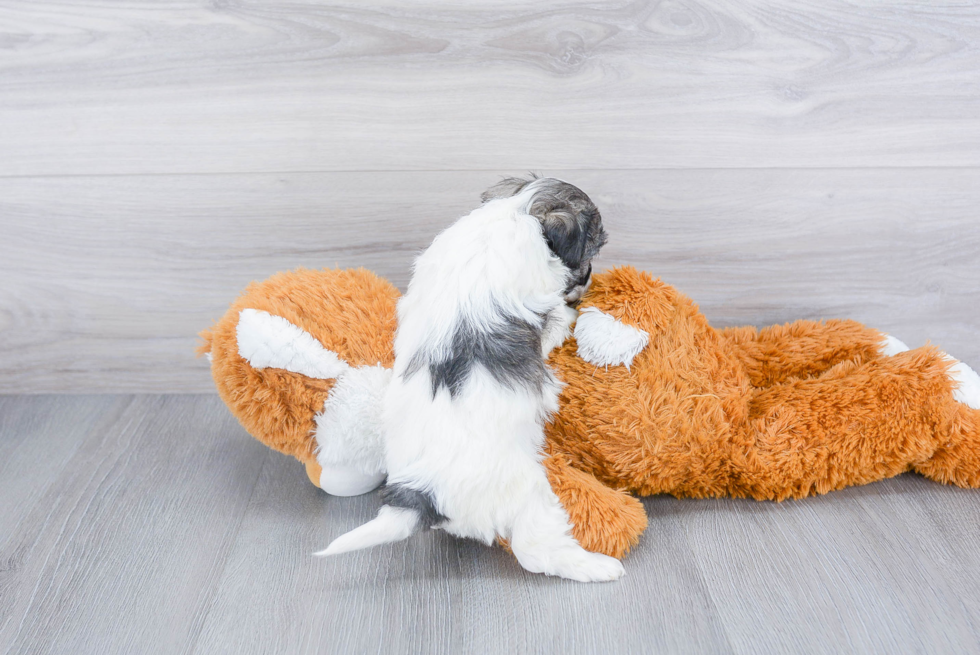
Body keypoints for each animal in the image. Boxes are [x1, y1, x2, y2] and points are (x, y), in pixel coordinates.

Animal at [320, 177, 628, 580]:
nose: (590, 278)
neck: (518, 210)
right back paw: (595, 566)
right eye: (593, 246)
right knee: (536, 551)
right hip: (526, 491)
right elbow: (554, 322)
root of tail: (422, 494)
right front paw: (569, 316)